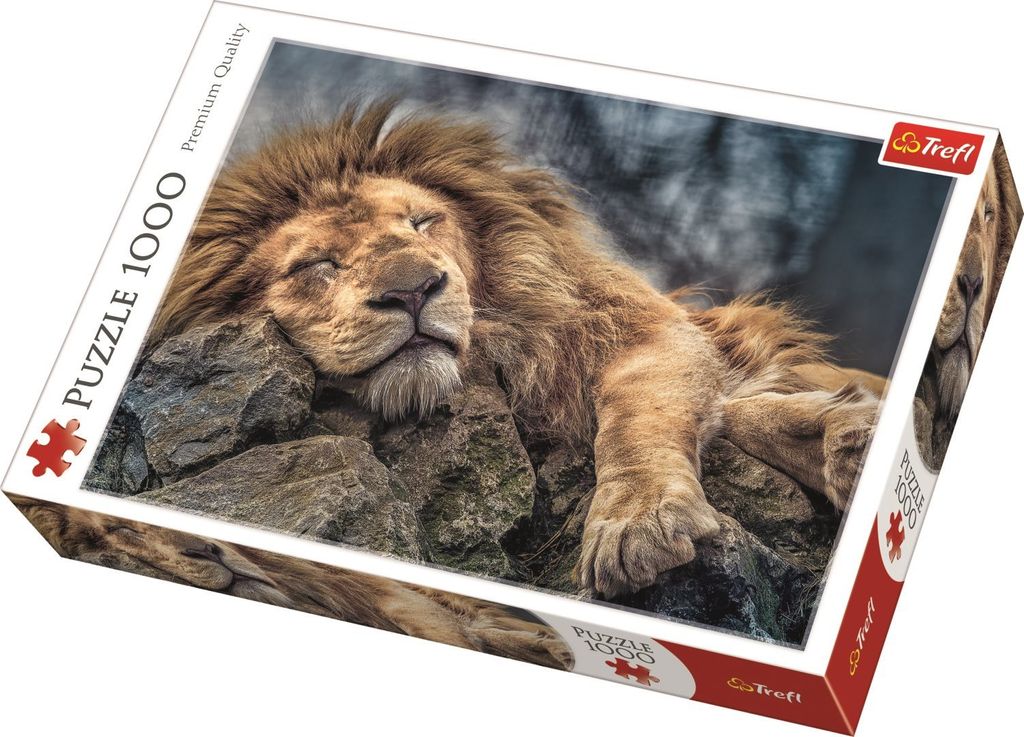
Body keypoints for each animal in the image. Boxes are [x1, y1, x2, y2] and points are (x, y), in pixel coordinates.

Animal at [150, 100, 882, 598]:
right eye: (318, 264)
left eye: (423, 222)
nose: (414, 290)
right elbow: (744, 410)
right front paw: (841, 434)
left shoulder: (646, 330)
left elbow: (637, 418)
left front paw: (636, 523)